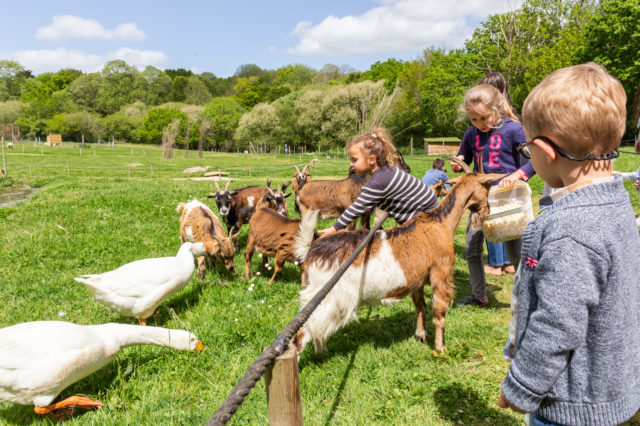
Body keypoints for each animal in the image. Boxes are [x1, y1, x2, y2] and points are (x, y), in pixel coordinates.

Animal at [292, 168, 508, 354]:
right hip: (328, 297)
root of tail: (312, 249)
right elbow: (439, 312)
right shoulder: (441, 273)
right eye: (487, 187)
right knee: (300, 335)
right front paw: (440, 348)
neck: (441, 222)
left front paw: (421, 335)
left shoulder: (418, 279)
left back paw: (322, 349)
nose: (488, 210)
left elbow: (421, 306)